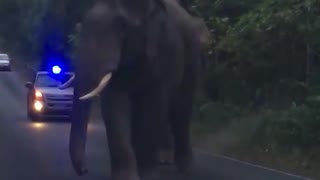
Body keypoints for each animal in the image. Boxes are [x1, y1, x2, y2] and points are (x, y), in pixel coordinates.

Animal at [59, 0, 210, 179]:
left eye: (122, 27)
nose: (84, 170)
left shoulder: (164, 50)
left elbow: (154, 104)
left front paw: (148, 175)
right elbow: (114, 106)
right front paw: (126, 176)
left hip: (192, 56)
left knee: (181, 108)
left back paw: (183, 169)